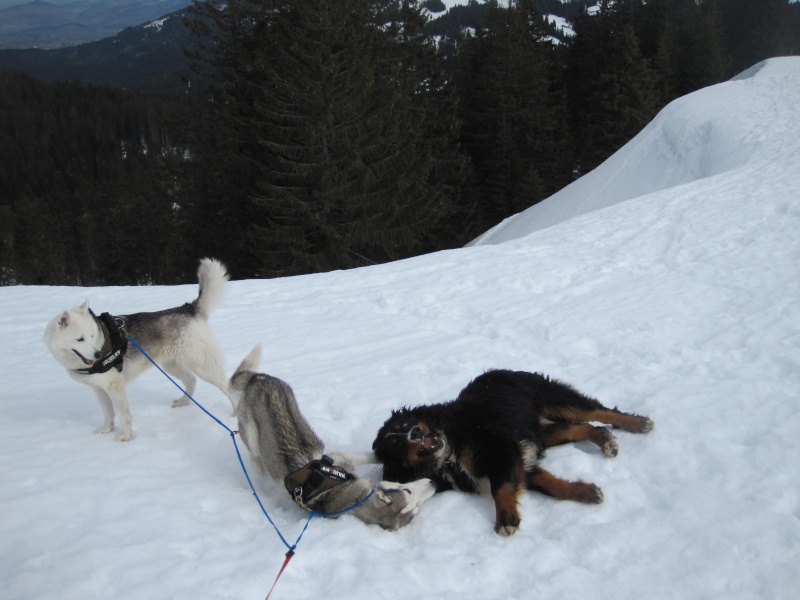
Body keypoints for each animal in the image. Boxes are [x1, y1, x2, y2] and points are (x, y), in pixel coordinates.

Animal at [372, 368, 652, 536]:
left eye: (404, 425)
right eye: (396, 445)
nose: (415, 433)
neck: (448, 452)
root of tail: (503, 371)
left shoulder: (501, 451)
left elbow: (501, 489)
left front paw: (506, 519)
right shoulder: (518, 457)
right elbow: (549, 484)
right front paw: (586, 492)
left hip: (554, 399)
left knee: (600, 412)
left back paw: (638, 424)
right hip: (541, 432)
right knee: (581, 427)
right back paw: (605, 440)